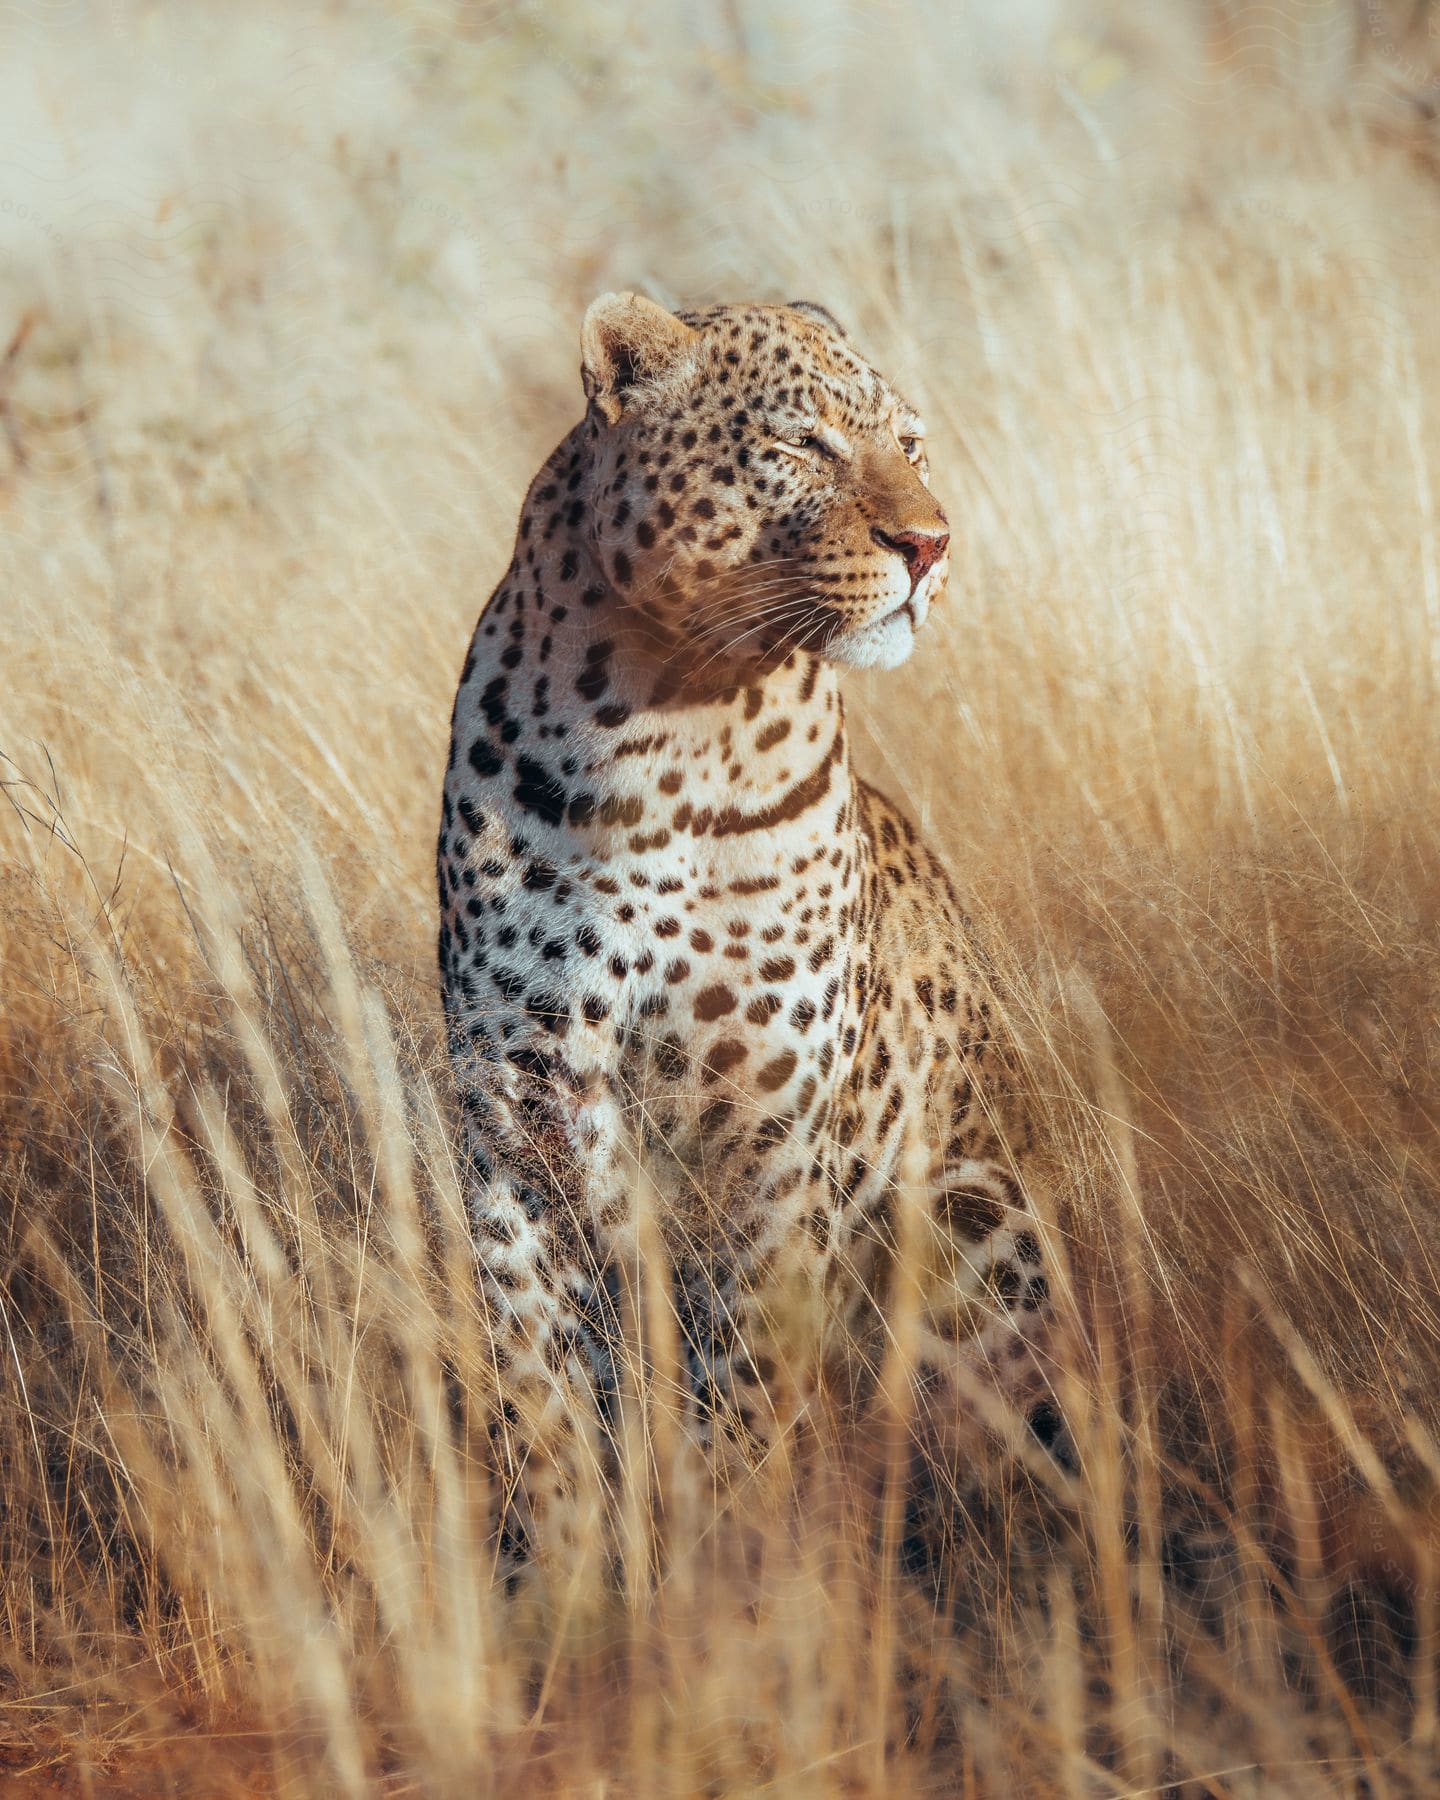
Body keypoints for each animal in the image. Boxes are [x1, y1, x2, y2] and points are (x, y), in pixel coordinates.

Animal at [433, 288, 1051, 1569]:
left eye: (910, 445)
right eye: (803, 445)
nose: (931, 545)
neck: (656, 722)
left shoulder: (764, 1134)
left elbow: (746, 1389)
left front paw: (733, 1580)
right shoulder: (517, 1119)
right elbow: (538, 1386)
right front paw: (563, 1589)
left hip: (978, 1215)